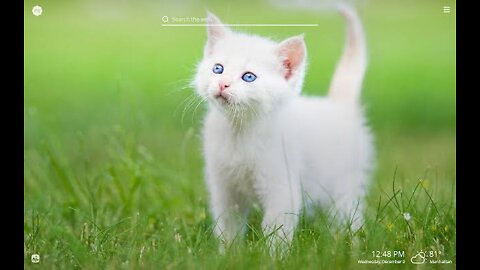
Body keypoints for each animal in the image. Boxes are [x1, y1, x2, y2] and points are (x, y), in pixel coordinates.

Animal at [193, 4, 374, 255]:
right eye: (217, 69)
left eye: (249, 77)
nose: (222, 84)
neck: (239, 132)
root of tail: (339, 106)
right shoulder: (224, 187)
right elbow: (228, 225)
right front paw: (228, 254)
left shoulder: (281, 185)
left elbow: (277, 228)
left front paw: (274, 257)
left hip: (345, 181)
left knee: (348, 213)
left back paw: (350, 242)